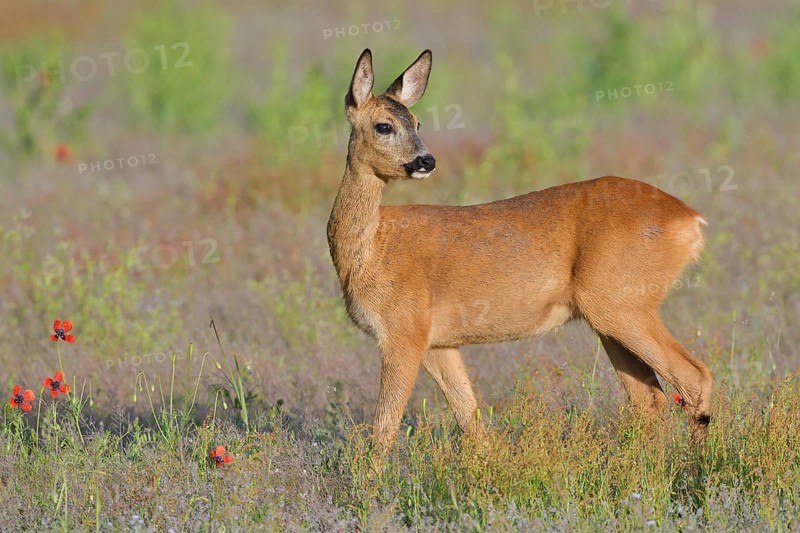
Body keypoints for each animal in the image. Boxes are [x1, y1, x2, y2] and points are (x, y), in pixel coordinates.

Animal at [327, 48, 714, 453]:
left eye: (417, 122)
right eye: (384, 126)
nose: (425, 161)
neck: (373, 249)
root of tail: (690, 219)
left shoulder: (403, 331)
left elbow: (383, 429)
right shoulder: (438, 344)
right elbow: (472, 422)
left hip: (620, 303)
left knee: (693, 376)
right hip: (611, 317)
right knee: (648, 397)